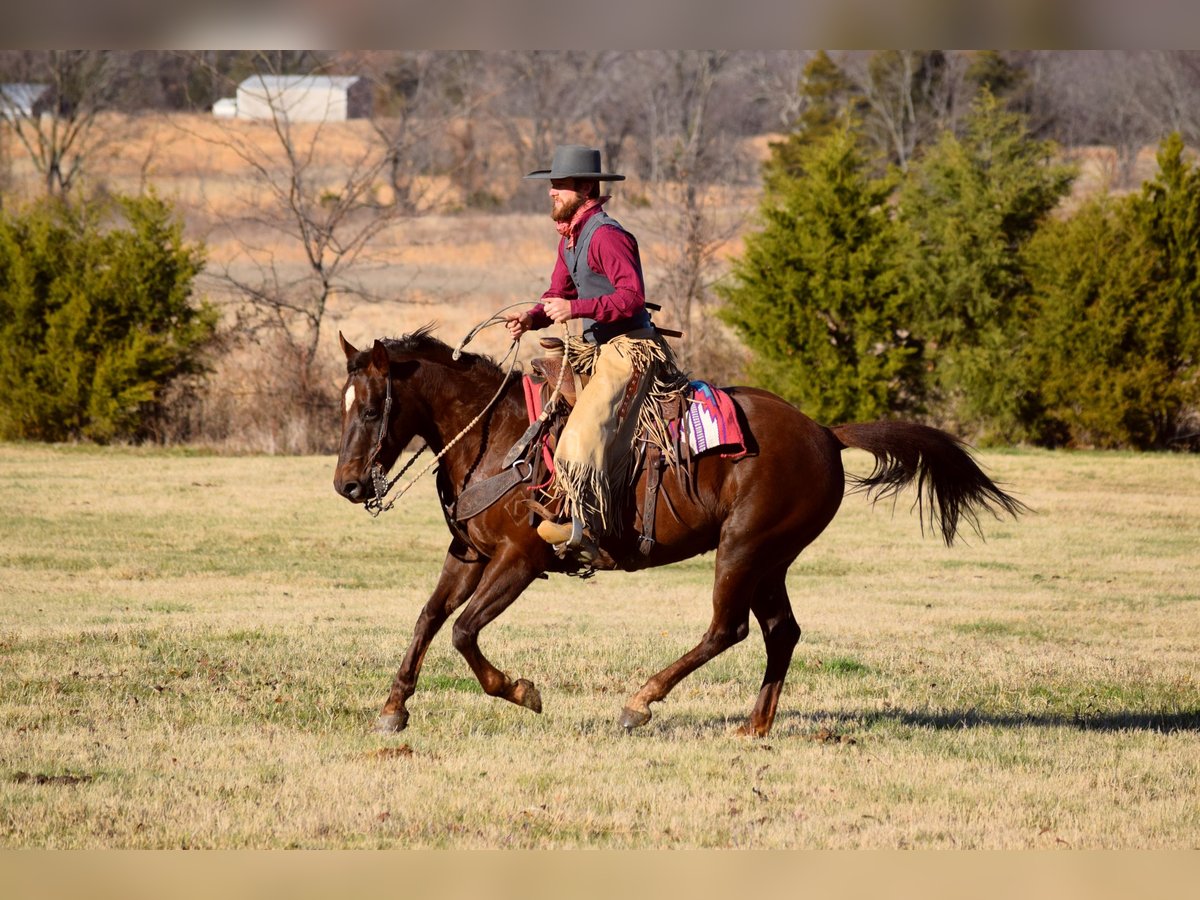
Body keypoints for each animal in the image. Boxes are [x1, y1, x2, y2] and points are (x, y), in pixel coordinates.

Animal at [336, 328, 1022, 734]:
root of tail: (825, 433)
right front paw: (394, 708)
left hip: (743, 548)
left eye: (370, 409)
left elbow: (463, 630)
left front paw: (521, 691)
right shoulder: (470, 554)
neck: (499, 437)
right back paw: (753, 727)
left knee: (729, 628)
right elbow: (429, 619)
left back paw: (641, 701)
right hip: (770, 559)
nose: (347, 486)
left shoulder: (520, 560)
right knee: (780, 632)